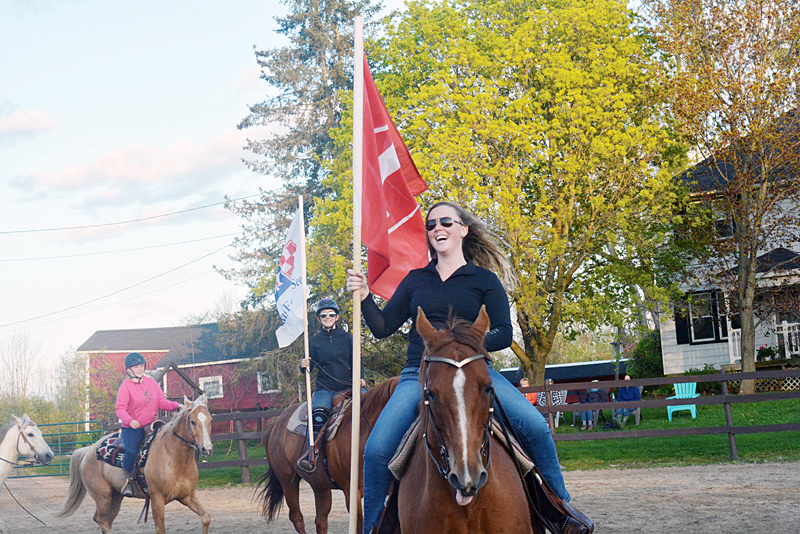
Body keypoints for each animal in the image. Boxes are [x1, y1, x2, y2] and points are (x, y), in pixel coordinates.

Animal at [57, 396, 212, 532]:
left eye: (210, 419)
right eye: (193, 421)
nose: (207, 449)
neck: (173, 458)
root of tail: (88, 450)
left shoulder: (187, 495)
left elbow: (206, 518)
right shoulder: (157, 499)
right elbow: (160, 529)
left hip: (116, 496)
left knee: (107, 520)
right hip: (102, 496)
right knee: (100, 519)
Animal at [260, 376, 400, 534]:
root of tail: (277, 423)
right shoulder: (351, 492)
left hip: (319, 486)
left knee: (320, 520)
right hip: (287, 480)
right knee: (296, 517)